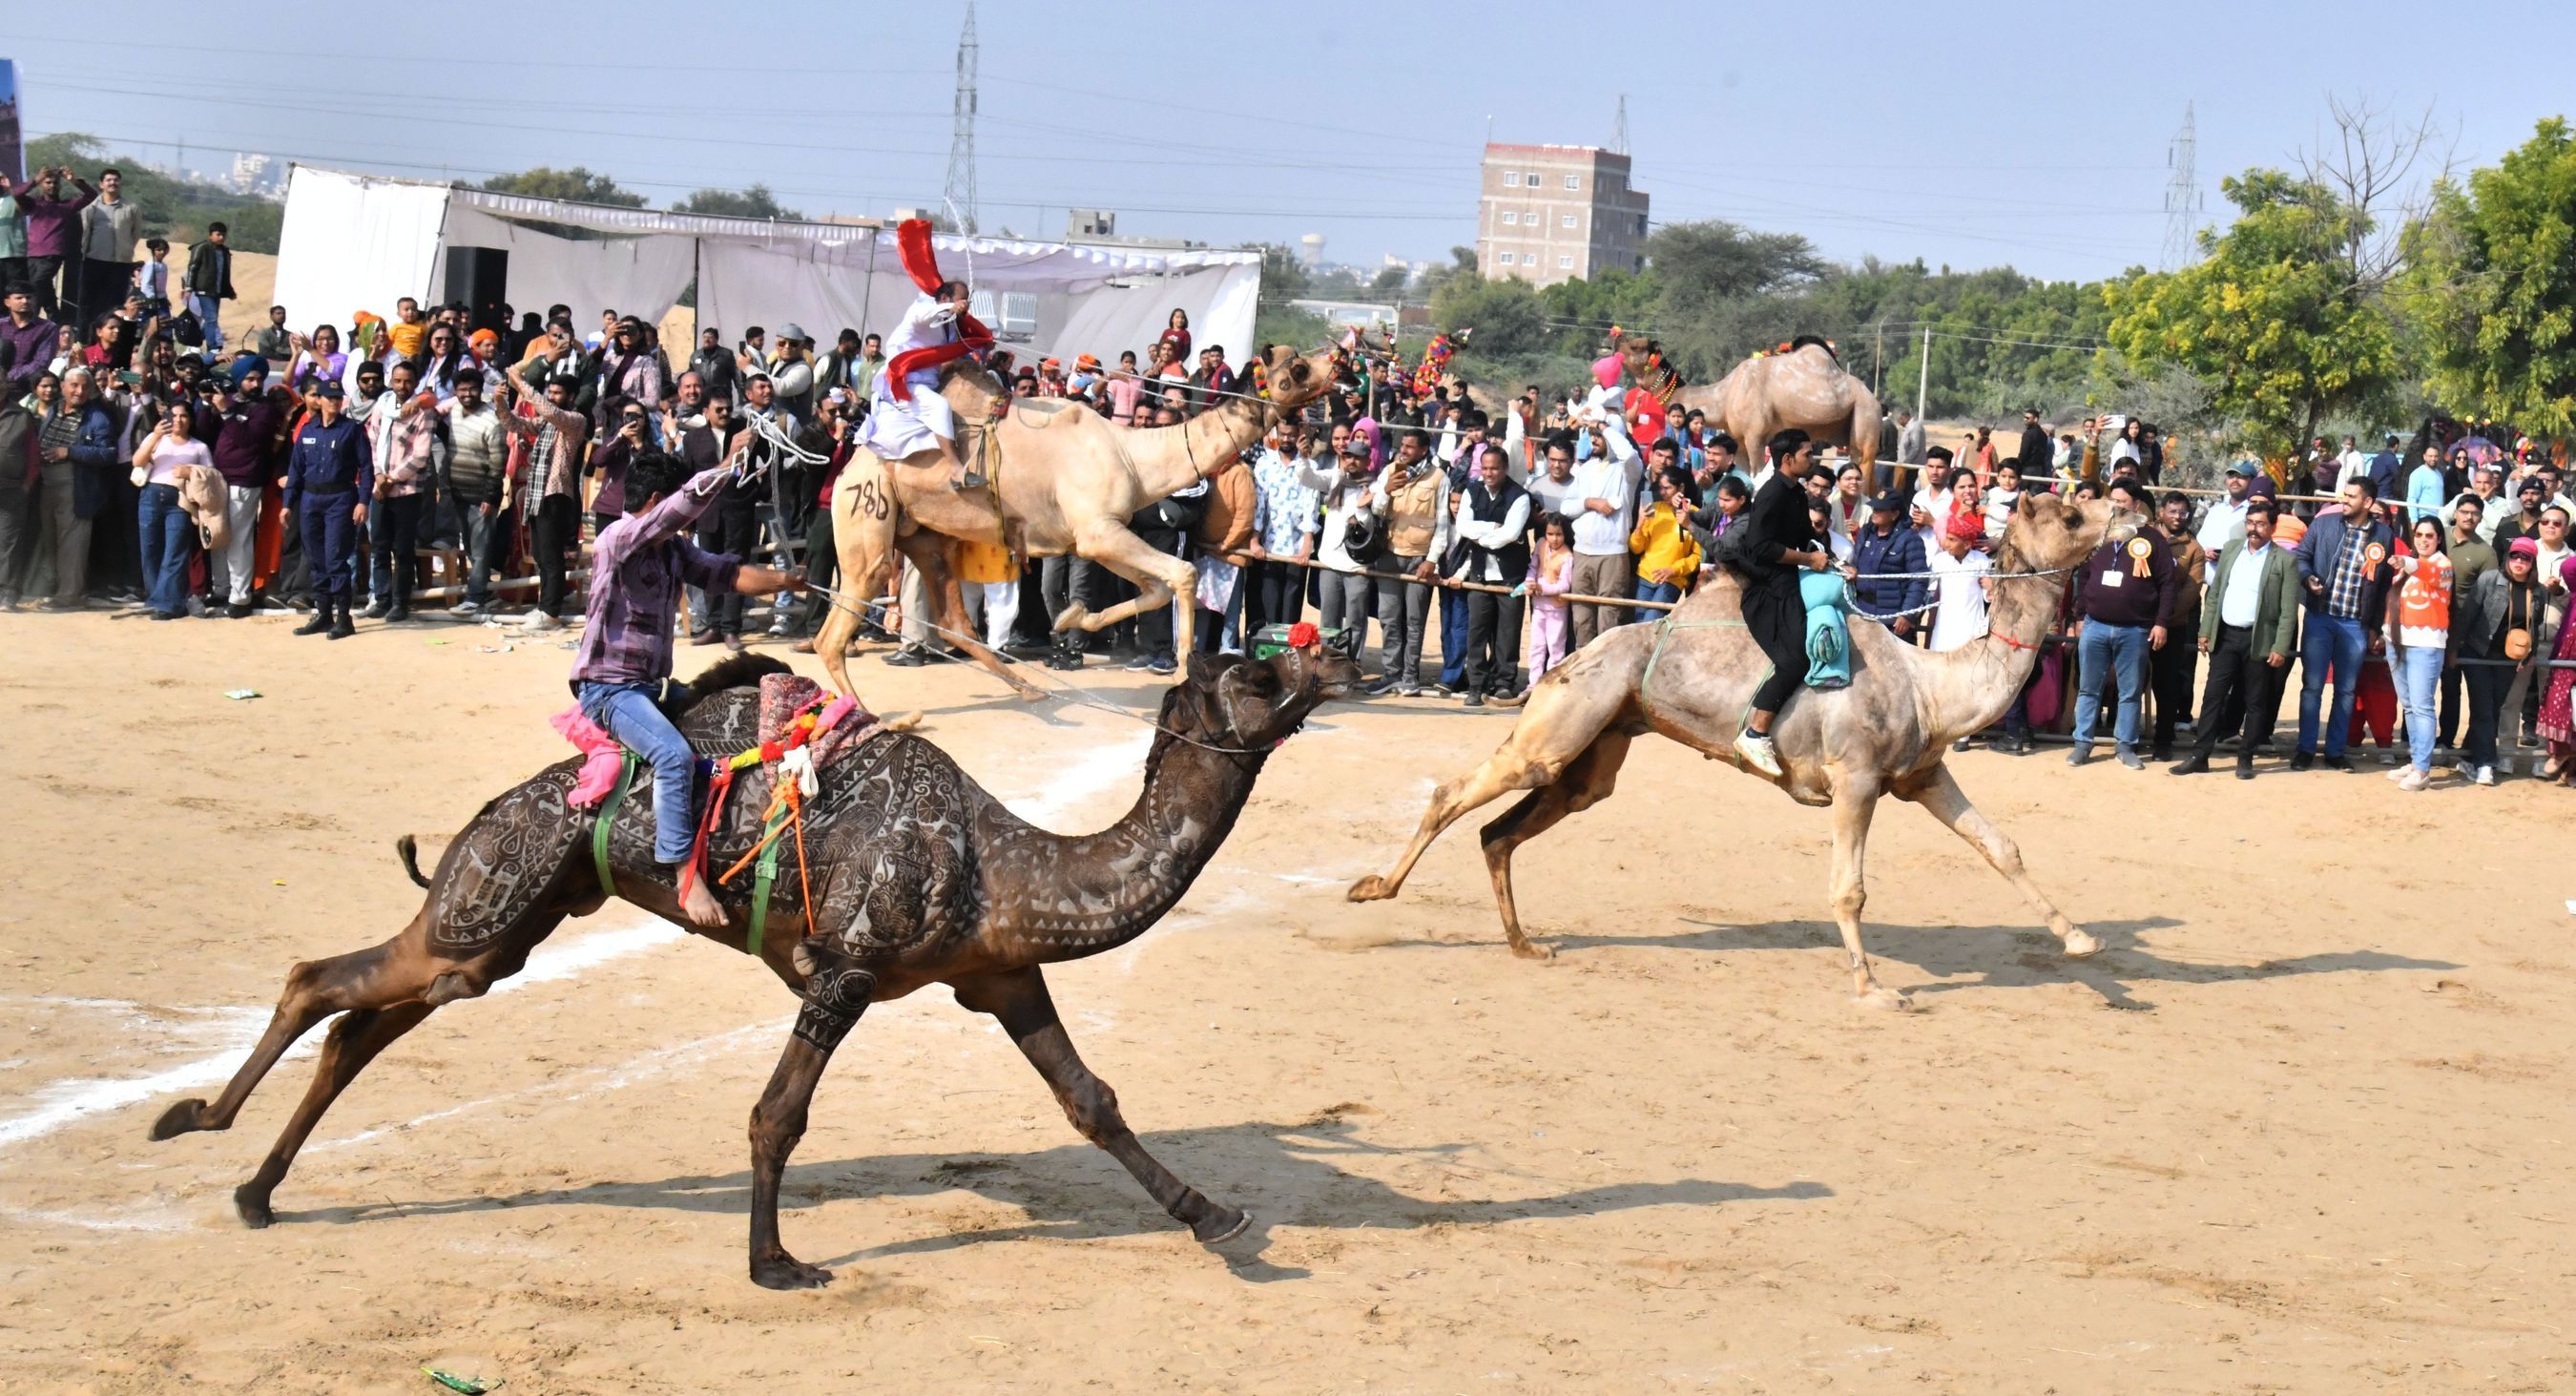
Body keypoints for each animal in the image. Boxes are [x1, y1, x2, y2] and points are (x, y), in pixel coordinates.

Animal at [156, 646, 1370, 1293]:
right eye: (1259, 669)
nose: (1341, 652)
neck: (1000, 863)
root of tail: (500, 805)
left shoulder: (1002, 975)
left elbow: (1093, 1100)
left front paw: (1216, 1215)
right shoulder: (846, 968)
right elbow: (776, 1114)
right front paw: (775, 1262)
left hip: (503, 928)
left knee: (368, 1015)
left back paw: (255, 1186)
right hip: (490, 894)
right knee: (324, 977)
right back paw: (200, 1126)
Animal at [808, 344, 1340, 705]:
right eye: (1295, 369)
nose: (1337, 359)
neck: (1134, 456)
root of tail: (852, 464)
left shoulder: (1098, 538)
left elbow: (1157, 587)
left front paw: (1070, 619)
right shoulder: (1098, 532)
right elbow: (1182, 574)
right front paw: (1185, 673)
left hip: (925, 535)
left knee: (954, 620)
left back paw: (1028, 688)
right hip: (869, 516)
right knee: (836, 628)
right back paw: (865, 712)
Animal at [1349, 496, 2132, 1014]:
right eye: (2069, 515)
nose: (2128, 510)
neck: (1931, 685)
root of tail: (1565, 661)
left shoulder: (1921, 773)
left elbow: (2001, 845)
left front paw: (2082, 941)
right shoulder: (1856, 780)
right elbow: (1849, 889)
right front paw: (1874, 987)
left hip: (1600, 747)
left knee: (1503, 829)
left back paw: (1526, 945)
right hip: (1564, 723)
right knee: (1456, 793)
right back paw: (1371, 891)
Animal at [1679, 337, 1885, 479]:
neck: (1726, 394)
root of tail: (1874, 399)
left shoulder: (1755, 436)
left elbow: (1756, 473)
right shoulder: (1737, 440)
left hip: (1866, 413)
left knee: (1863, 462)